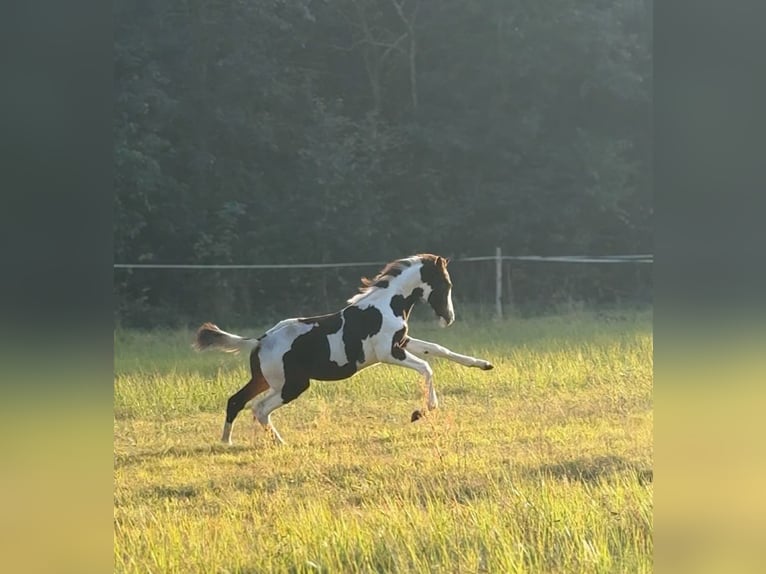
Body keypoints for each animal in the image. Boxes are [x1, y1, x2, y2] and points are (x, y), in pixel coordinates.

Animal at [194, 254, 494, 445]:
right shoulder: (389, 352)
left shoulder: (403, 342)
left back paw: (226, 442)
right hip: (292, 385)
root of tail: (260, 340)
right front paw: (423, 411)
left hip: (264, 380)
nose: (449, 317)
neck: (388, 304)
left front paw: (484, 364)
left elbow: (438, 349)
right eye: (446, 284)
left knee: (236, 401)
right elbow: (427, 367)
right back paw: (279, 442)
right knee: (259, 409)